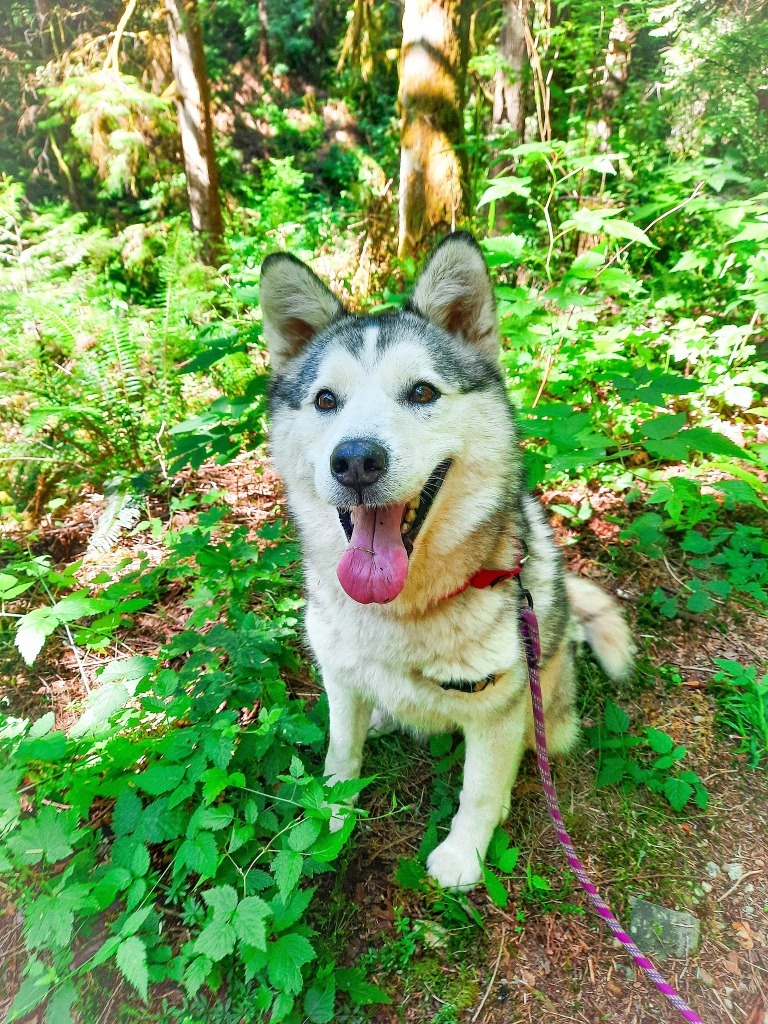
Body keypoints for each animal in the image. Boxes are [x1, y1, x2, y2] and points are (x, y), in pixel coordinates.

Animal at [259, 235, 630, 892]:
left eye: (422, 392)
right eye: (326, 400)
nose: (355, 461)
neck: (401, 614)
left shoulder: (497, 706)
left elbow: (479, 790)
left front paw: (463, 855)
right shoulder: (338, 678)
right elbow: (340, 752)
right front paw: (328, 817)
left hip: (546, 687)